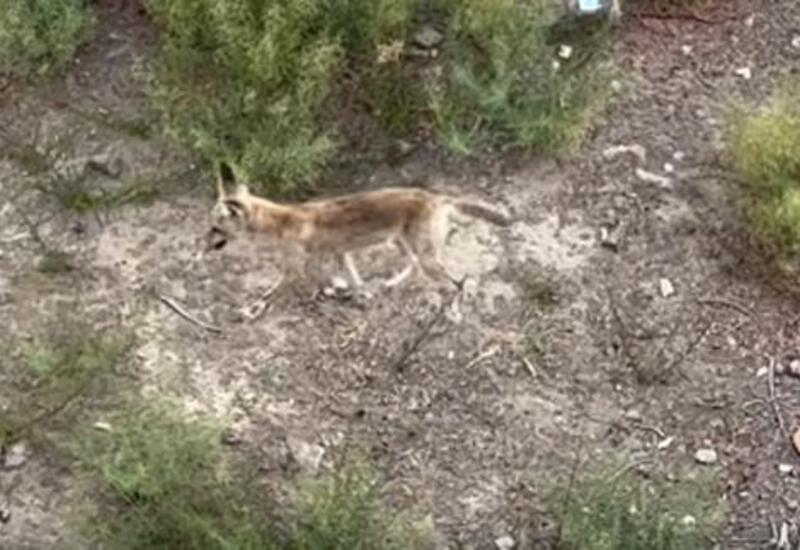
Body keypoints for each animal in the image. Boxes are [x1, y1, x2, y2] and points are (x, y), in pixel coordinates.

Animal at [204, 163, 510, 290]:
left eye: (215, 229)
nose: (203, 245)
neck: (281, 221)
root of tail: (438, 197)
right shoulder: (340, 253)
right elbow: (352, 279)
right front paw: (356, 291)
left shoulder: (300, 265)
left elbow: (282, 287)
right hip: (401, 242)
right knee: (412, 264)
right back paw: (391, 282)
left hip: (426, 256)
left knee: (457, 283)